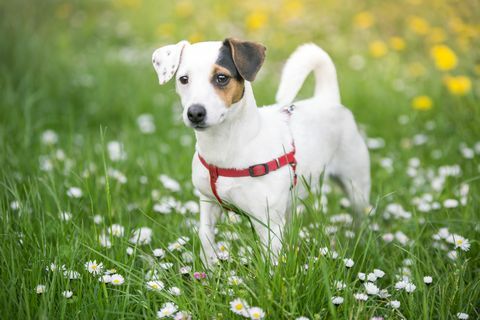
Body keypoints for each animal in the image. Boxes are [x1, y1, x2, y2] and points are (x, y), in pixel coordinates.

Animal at [153, 38, 372, 268]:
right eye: (183, 79)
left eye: (222, 78)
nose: (195, 112)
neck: (226, 147)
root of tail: (326, 100)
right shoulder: (208, 203)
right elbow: (205, 237)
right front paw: (209, 269)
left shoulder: (268, 224)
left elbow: (272, 262)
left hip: (356, 185)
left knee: (361, 216)